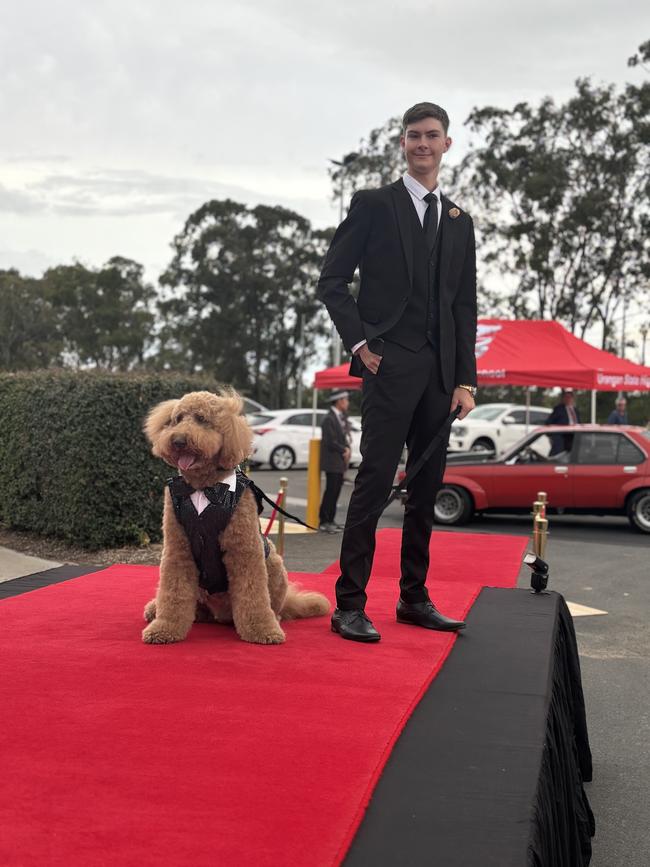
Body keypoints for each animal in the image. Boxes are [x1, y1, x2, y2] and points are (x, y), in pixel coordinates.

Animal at [142, 388, 330, 644]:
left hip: (274, 564)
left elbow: (253, 595)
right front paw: (164, 628)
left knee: (273, 606)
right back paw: (157, 609)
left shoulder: (244, 549)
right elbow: (174, 593)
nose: (178, 441)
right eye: (177, 419)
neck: (204, 488)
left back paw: (273, 618)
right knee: (196, 607)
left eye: (202, 419)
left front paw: (263, 630)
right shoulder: (177, 549)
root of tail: (220, 614)